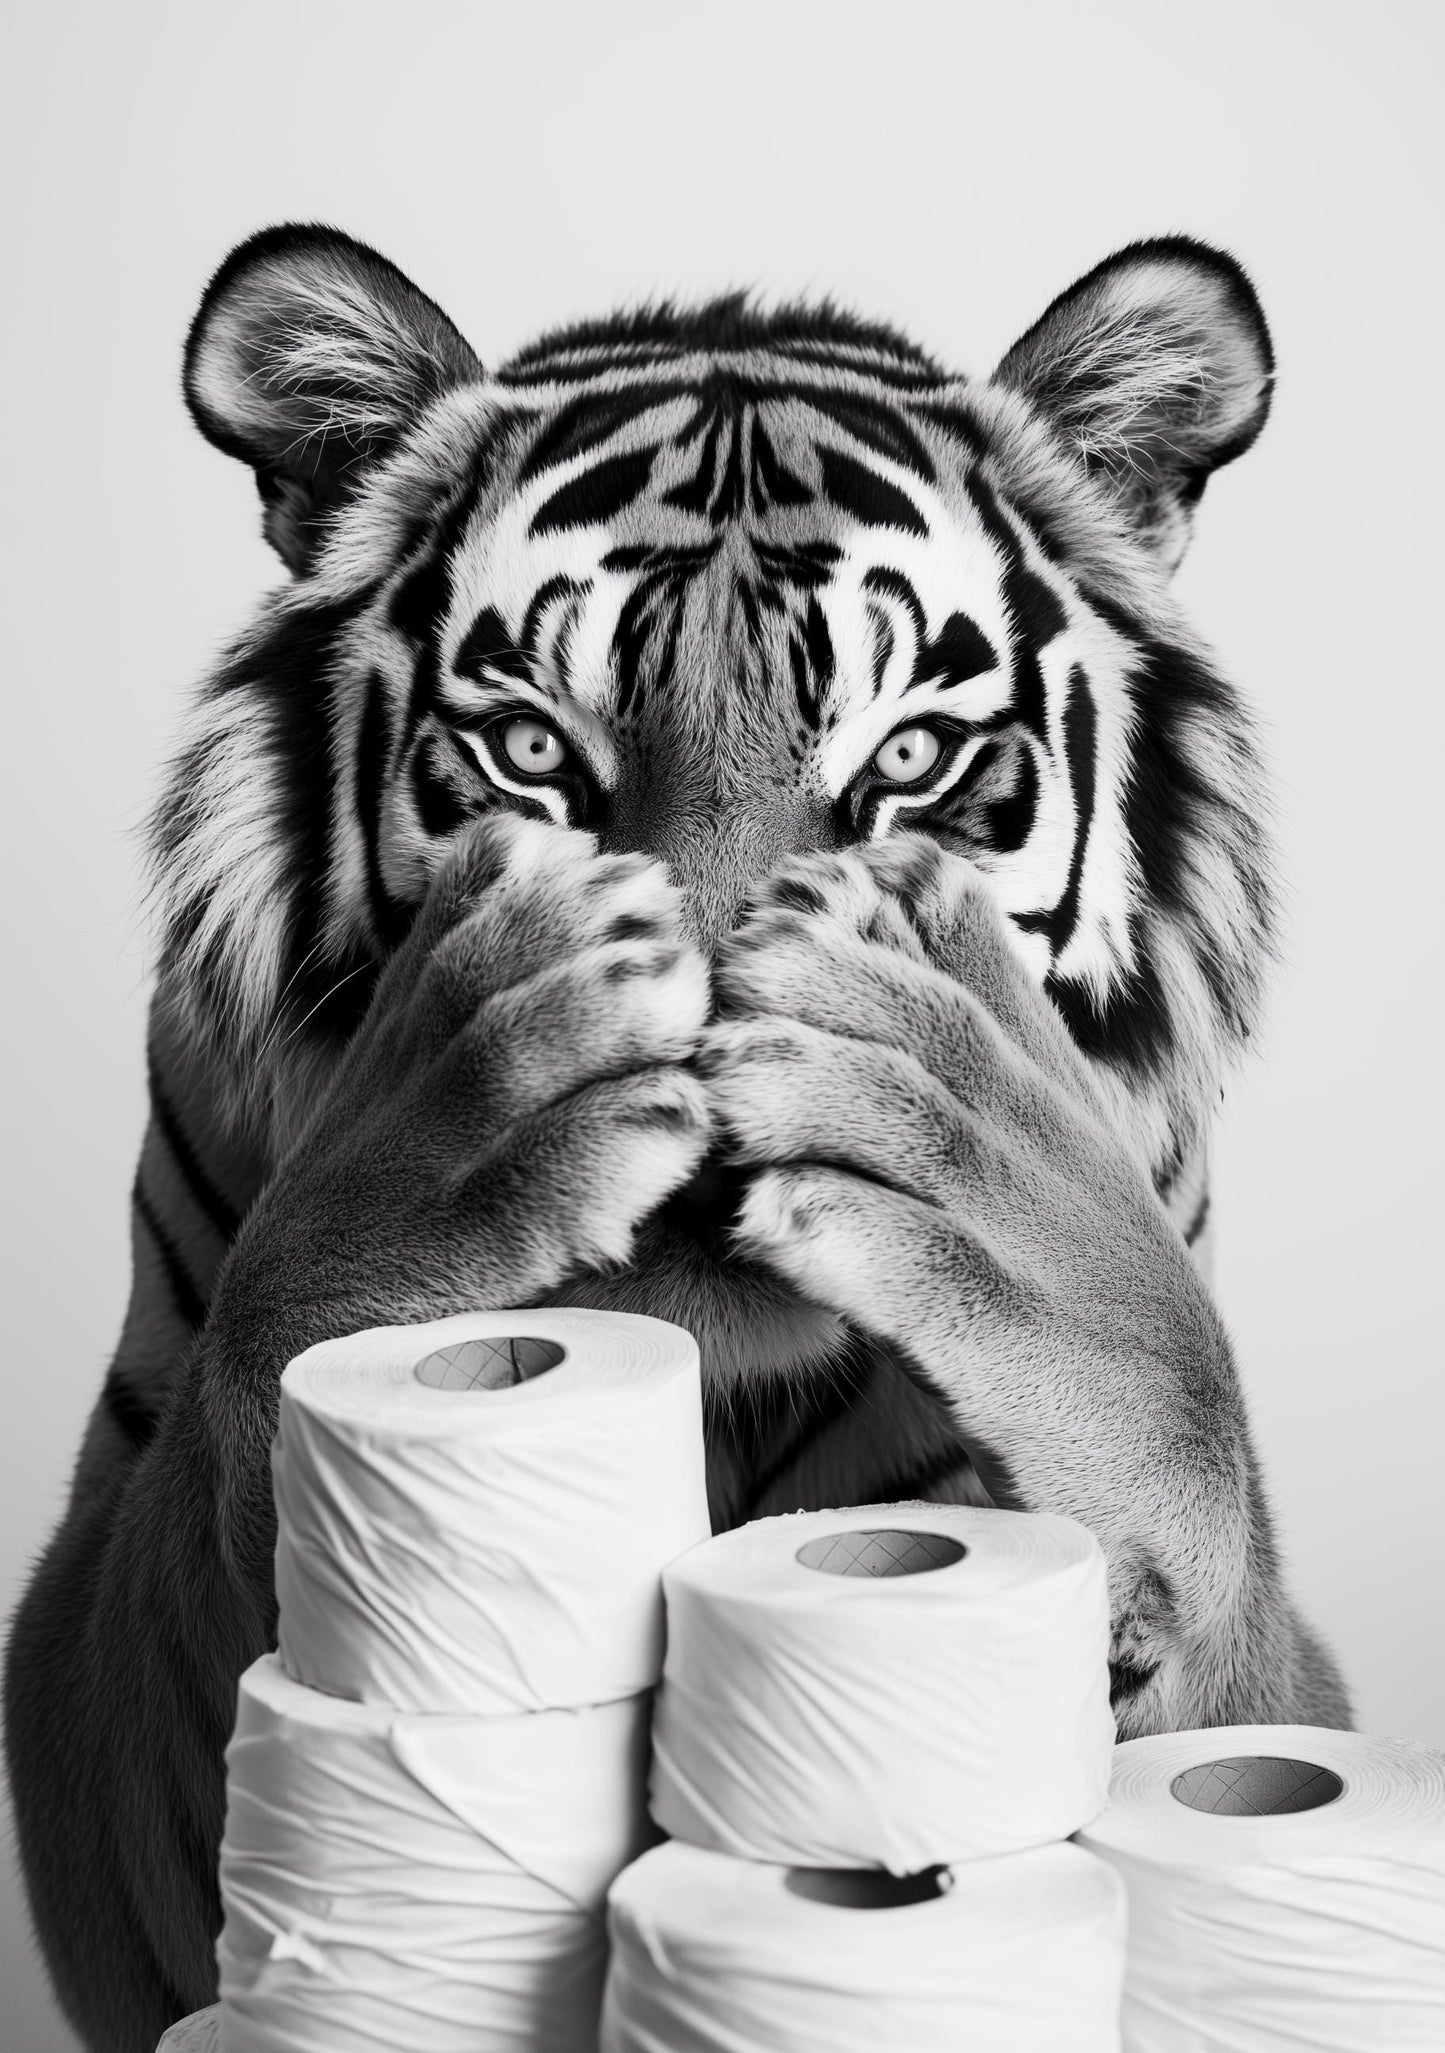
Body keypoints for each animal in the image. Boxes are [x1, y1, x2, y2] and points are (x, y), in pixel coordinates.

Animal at [4, 223, 1350, 2053]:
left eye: (911, 757)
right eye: (530, 752)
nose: (711, 1096)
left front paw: (991, 1167)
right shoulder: (102, 1693)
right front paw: (456, 1118)